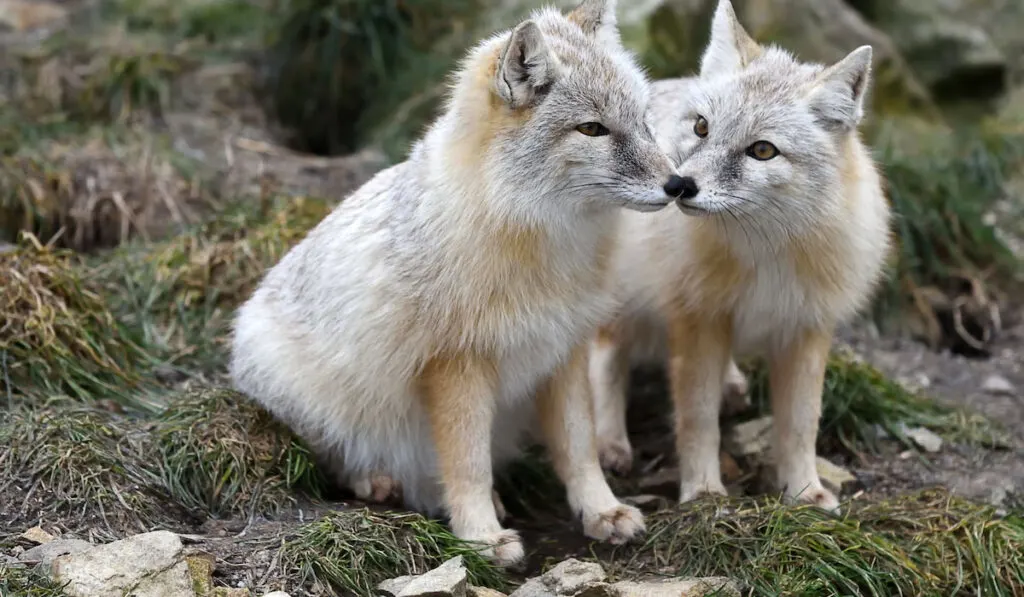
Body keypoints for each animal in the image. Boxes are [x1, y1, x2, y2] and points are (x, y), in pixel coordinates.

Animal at [228, 0, 684, 565]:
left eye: (643, 120)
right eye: (593, 129)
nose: (678, 183)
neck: (540, 247)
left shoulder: (563, 348)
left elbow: (579, 447)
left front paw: (601, 510)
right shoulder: (456, 365)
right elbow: (467, 463)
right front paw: (480, 536)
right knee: (341, 456)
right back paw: (378, 481)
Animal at [589, 1, 892, 514]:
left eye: (763, 151)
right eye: (701, 127)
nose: (681, 186)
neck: (765, 254)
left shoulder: (805, 329)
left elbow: (800, 425)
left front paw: (805, 490)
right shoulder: (698, 321)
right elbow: (697, 419)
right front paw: (703, 492)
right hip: (621, 302)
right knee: (606, 357)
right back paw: (611, 441)